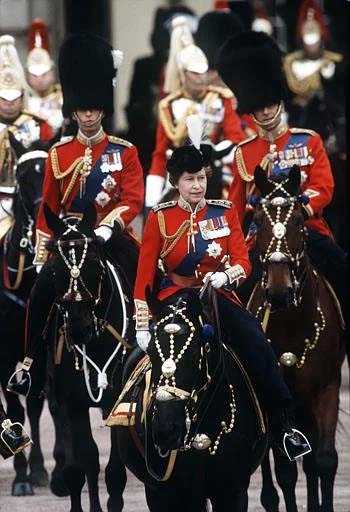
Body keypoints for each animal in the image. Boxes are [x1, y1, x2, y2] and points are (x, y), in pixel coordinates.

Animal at [42, 204, 133, 512]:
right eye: (55, 267)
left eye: (93, 262)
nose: (78, 328)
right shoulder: (71, 401)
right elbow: (84, 463)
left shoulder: (117, 399)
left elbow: (114, 471)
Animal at [249, 167, 344, 512]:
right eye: (258, 221)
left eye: (299, 222)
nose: (279, 292)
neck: (292, 324)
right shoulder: (279, 400)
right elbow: (286, 470)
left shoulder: (327, 389)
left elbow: (325, 460)